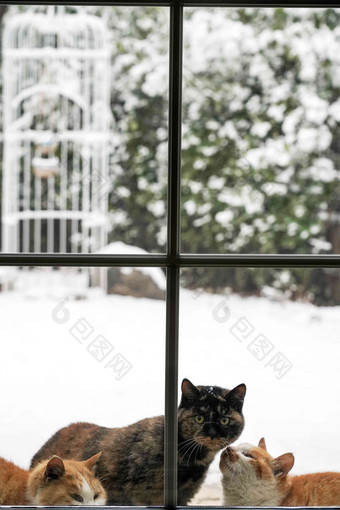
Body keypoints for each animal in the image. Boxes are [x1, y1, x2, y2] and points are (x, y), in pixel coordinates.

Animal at [31, 378, 244, 506]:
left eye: (224, 420)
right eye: (199, 418)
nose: (212, 434)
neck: (190, 461)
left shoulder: (183, 496)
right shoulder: (134, 497)